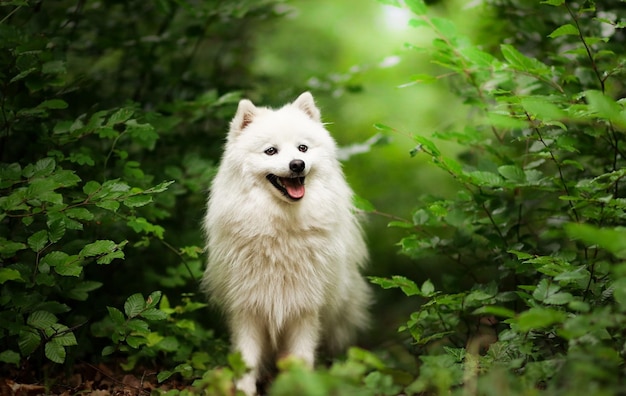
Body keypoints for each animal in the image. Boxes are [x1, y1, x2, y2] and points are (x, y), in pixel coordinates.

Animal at [200, 93, 368, 396]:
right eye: (270, 151)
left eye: (302, 148)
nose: (297, 164)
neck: (281, 228)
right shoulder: (248, 306)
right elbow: (247, 360)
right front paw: (244, 390)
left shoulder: (305, 308)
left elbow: (302, 358)